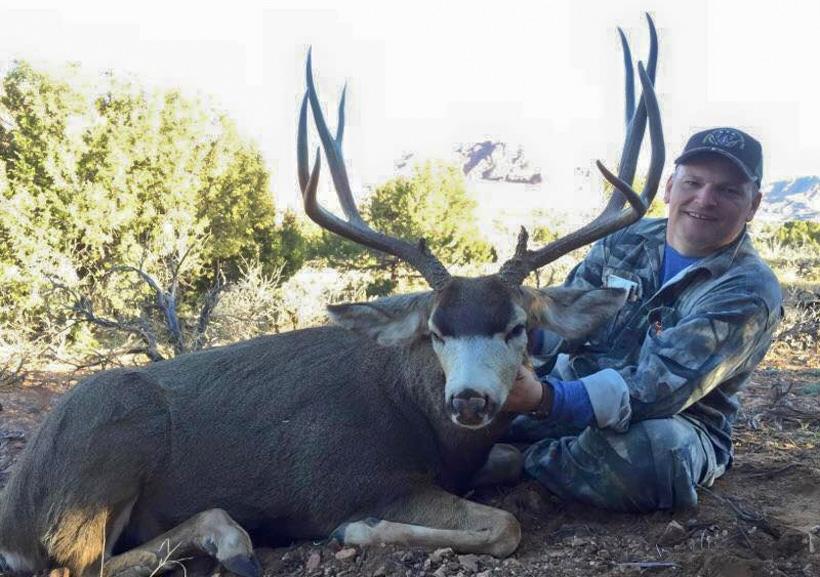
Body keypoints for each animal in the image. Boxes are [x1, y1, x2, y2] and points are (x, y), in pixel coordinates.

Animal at [0, 15, 662, 577]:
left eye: (517, 327)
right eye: (436, 331)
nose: (470, 400)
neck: (422, 417)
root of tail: (14, 512)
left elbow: (510, 462)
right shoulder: (358, 480)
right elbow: (502, 525)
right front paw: (360, 531)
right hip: (100, 459)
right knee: (77, 566)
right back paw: (231, 539)